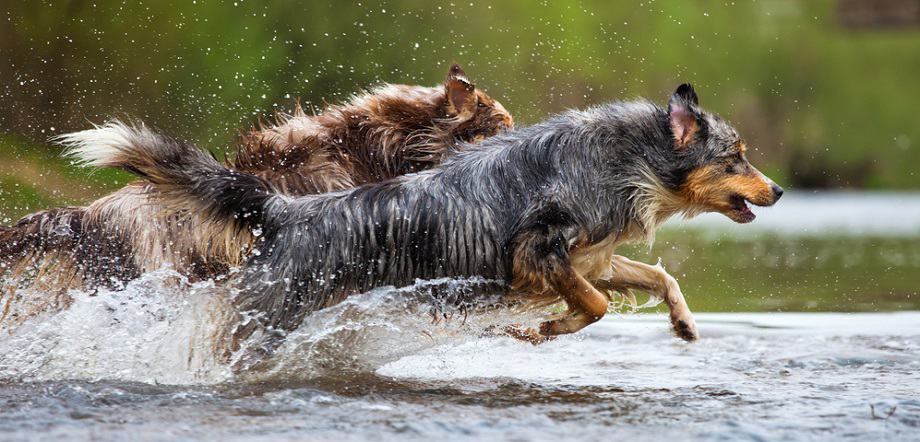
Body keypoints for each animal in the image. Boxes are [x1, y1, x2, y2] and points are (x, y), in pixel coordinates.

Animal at [64, 83, 784, 346]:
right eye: (737, 156)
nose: (779, 191)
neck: (628, 158)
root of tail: (283, 208)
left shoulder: (594, 258)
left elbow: (660, 277)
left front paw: (684, 325)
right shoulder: (538, 251)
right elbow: (595, 306)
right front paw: (545, 328)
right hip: (265, 323)